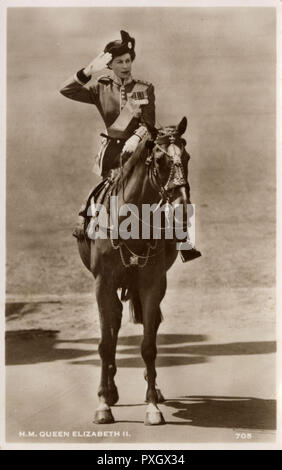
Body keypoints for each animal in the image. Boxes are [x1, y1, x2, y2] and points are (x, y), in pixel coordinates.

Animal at [77, 117, 192, 426]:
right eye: (161, 161)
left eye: (186, 157)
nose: (182, 206)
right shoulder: (102, 284)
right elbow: (106, 343)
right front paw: (103, 403)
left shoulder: (152, 284)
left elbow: (148, 345)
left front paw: (152, 405)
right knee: (114, 326)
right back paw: (110, 389)